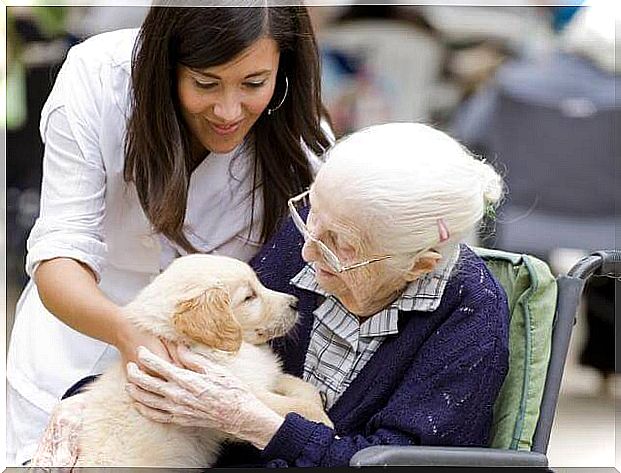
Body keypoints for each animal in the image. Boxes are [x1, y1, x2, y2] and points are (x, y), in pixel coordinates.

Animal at [70, 253, 332, 466]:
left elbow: (295, 384)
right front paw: (324, 424)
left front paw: (318, 401)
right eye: (249, 297)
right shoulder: (245, 394)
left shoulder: (259, 378)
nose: (295, 303)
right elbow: (293, 406)